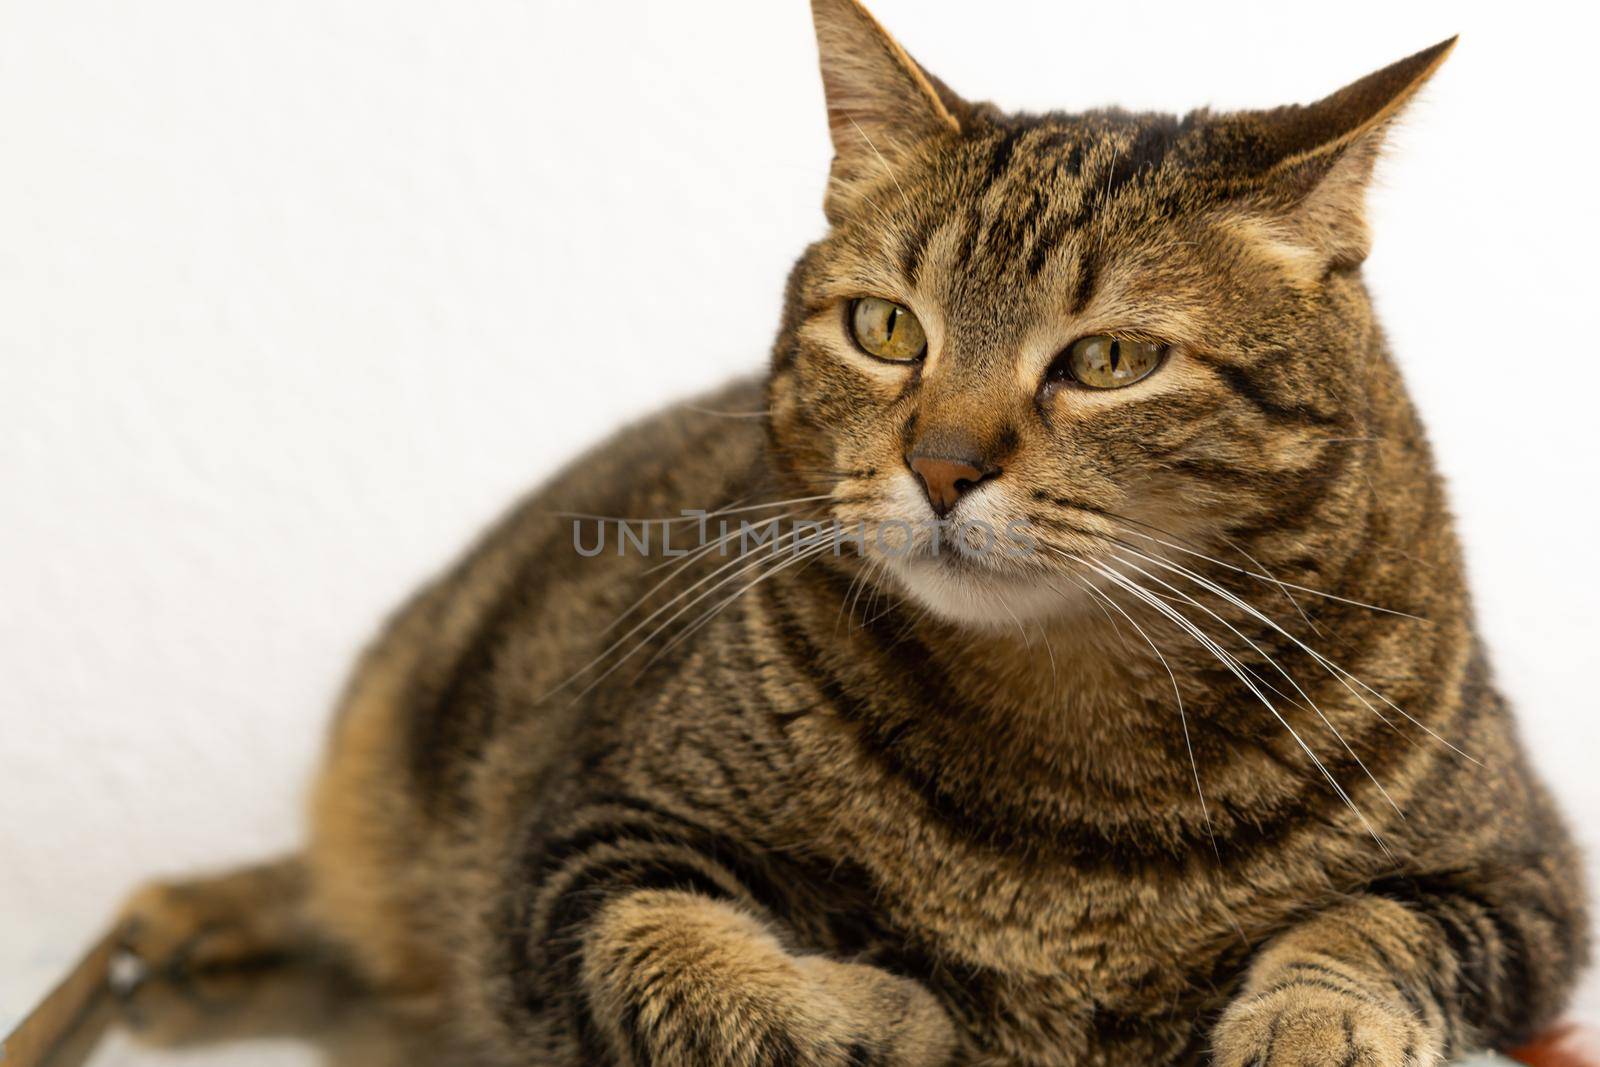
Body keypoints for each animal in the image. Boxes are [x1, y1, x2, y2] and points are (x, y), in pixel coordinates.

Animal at [116, 2, 1587, 1067]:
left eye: (1109, 359)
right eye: (887, 328)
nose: (941, 462)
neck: (1075, 745)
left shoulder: (1523, 876)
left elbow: (1370, 929)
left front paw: (1309, 1023)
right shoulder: (582, 843)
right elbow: (675, 955)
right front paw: (873, 1012)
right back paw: (197, 912)